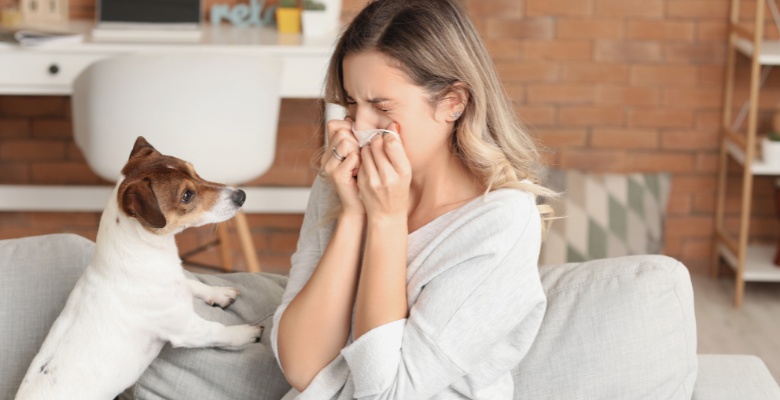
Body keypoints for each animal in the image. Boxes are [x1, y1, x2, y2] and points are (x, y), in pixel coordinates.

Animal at [14, 136, 262, 398]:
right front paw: (247, 332)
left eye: (195, 171)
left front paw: (220, 293)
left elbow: (192, 283)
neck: (146, 254)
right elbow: (219, 331)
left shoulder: (178, 285)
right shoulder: (187, 329)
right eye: (186, 195)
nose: (241, 195)